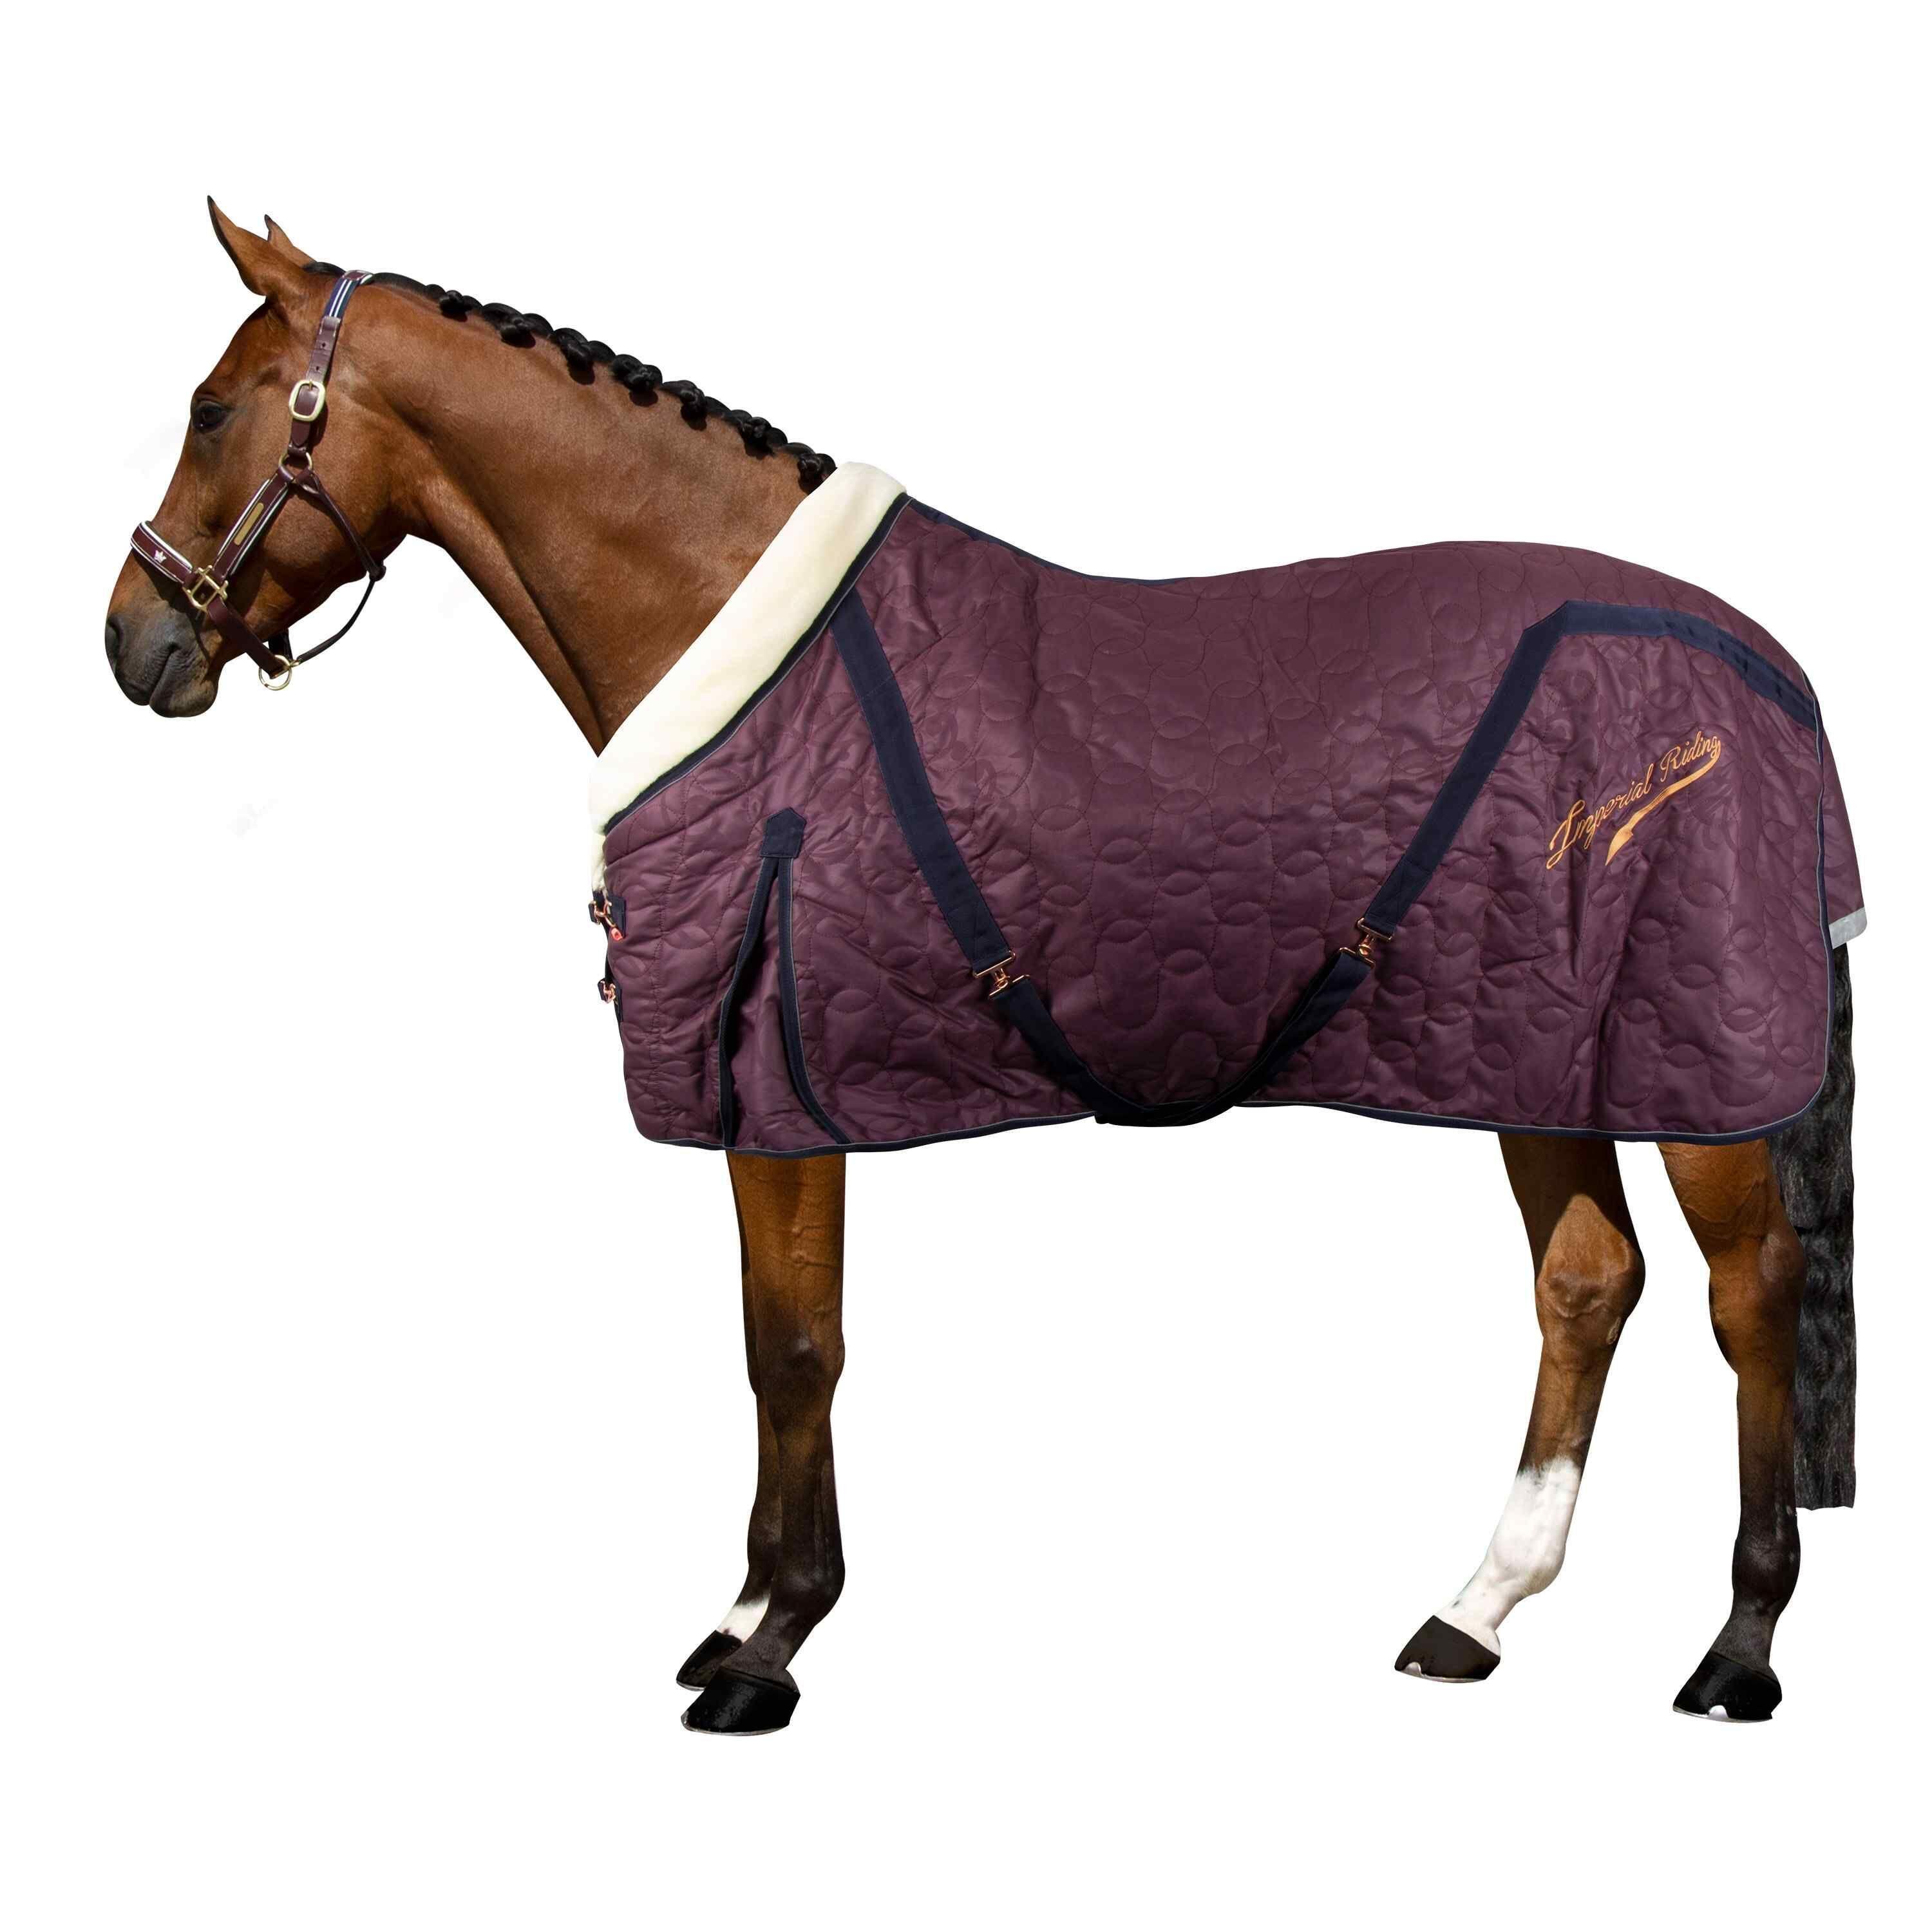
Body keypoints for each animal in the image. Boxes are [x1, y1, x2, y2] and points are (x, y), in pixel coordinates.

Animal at [105, 204, 1859, 1736]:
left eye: (212, 408)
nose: (134, 641)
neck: (739, 639)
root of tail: (1766, 669)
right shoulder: (771, 1092)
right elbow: (773, 1337)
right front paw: (740, 1620)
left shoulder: (785, 1082)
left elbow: (797, 1347)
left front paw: (772, 1650)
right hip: (1524, 1046)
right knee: (1587, 1283)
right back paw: (1472, 1612)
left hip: (1686, 1068)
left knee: (1751, 1293)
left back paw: (1738, 1646)